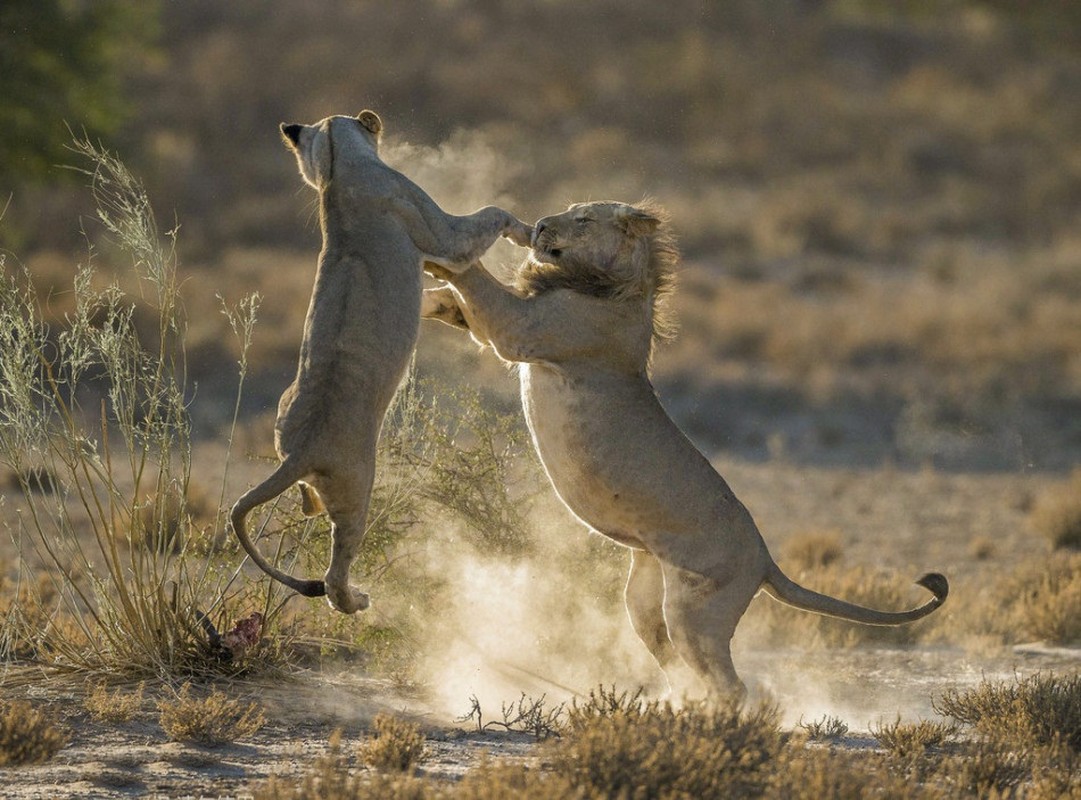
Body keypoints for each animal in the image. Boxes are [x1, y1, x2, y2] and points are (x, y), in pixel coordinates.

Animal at [232, 110, 531, 614]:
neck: (338, 169)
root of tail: (300, 451)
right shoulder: (441, 230)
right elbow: (490, 214)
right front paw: (525, 232)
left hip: (289, 434)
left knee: (308, 503)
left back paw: (310, 507)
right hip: (358, 487)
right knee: (334, 572)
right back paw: (357, 600)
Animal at [421, 199, 946, 691]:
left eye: (584, 219)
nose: (542, 226)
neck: (611, 283)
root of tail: (765, 560)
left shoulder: (519, 328)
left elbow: (472, 277)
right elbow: (449, 299)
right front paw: (424, 294)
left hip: (695, 614)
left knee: (730, 686)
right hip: (645, 596)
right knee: (675, 663)